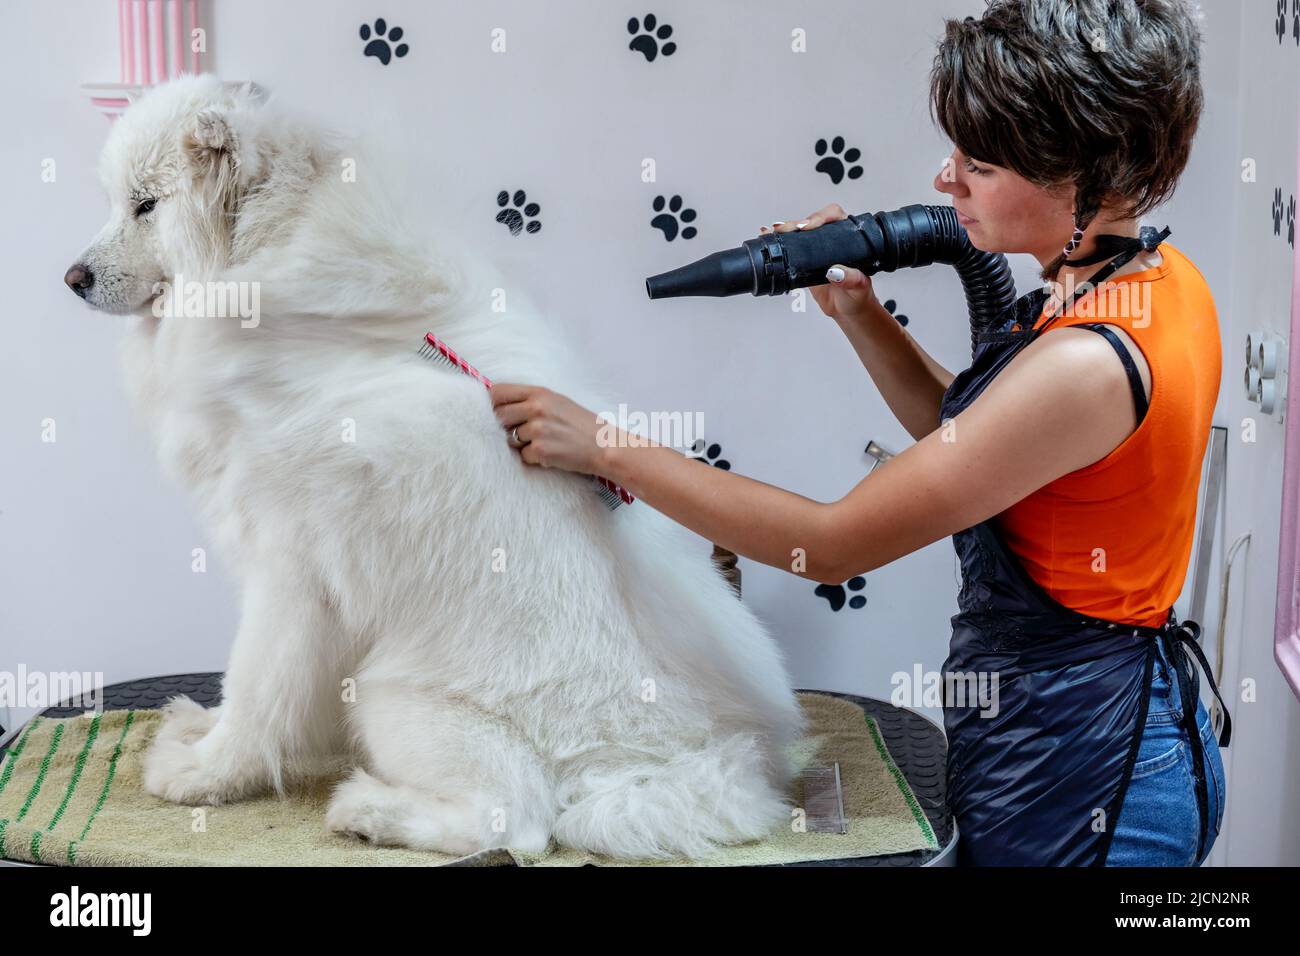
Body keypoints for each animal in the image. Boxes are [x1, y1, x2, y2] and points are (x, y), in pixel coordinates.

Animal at [65, 76, 806, 858]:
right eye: (119, 201)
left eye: (146, 205)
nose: (72, 277)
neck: (269, 282)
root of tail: (681, 773)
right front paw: (198, 731)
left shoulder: (292, 574)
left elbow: (256, 688)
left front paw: (208, 772)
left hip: (394, 694)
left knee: (518, 819)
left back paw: (366, 809)